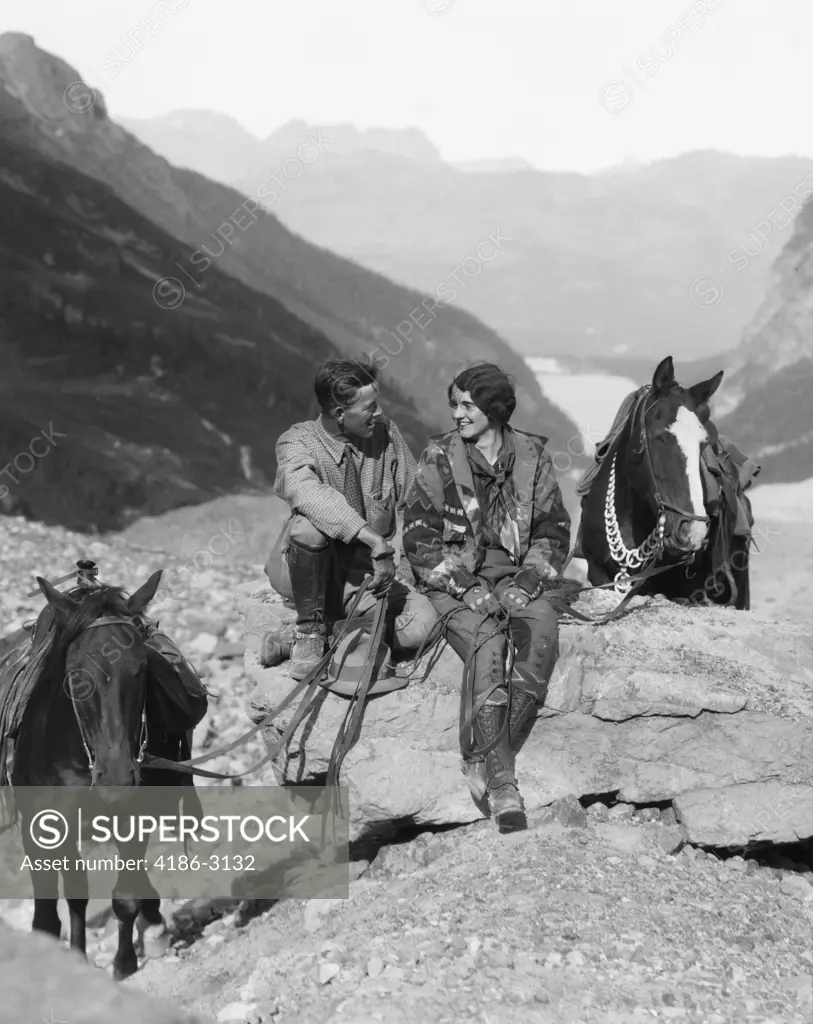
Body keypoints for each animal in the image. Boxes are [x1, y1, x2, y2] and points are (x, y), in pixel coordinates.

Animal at [10, 573, 199, 978]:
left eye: (142, 668)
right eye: (75, 674)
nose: (115, 778)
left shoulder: (134, 816)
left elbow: (124, 897)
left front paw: (124, 962)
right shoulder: (42, 824)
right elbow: (56, 908)